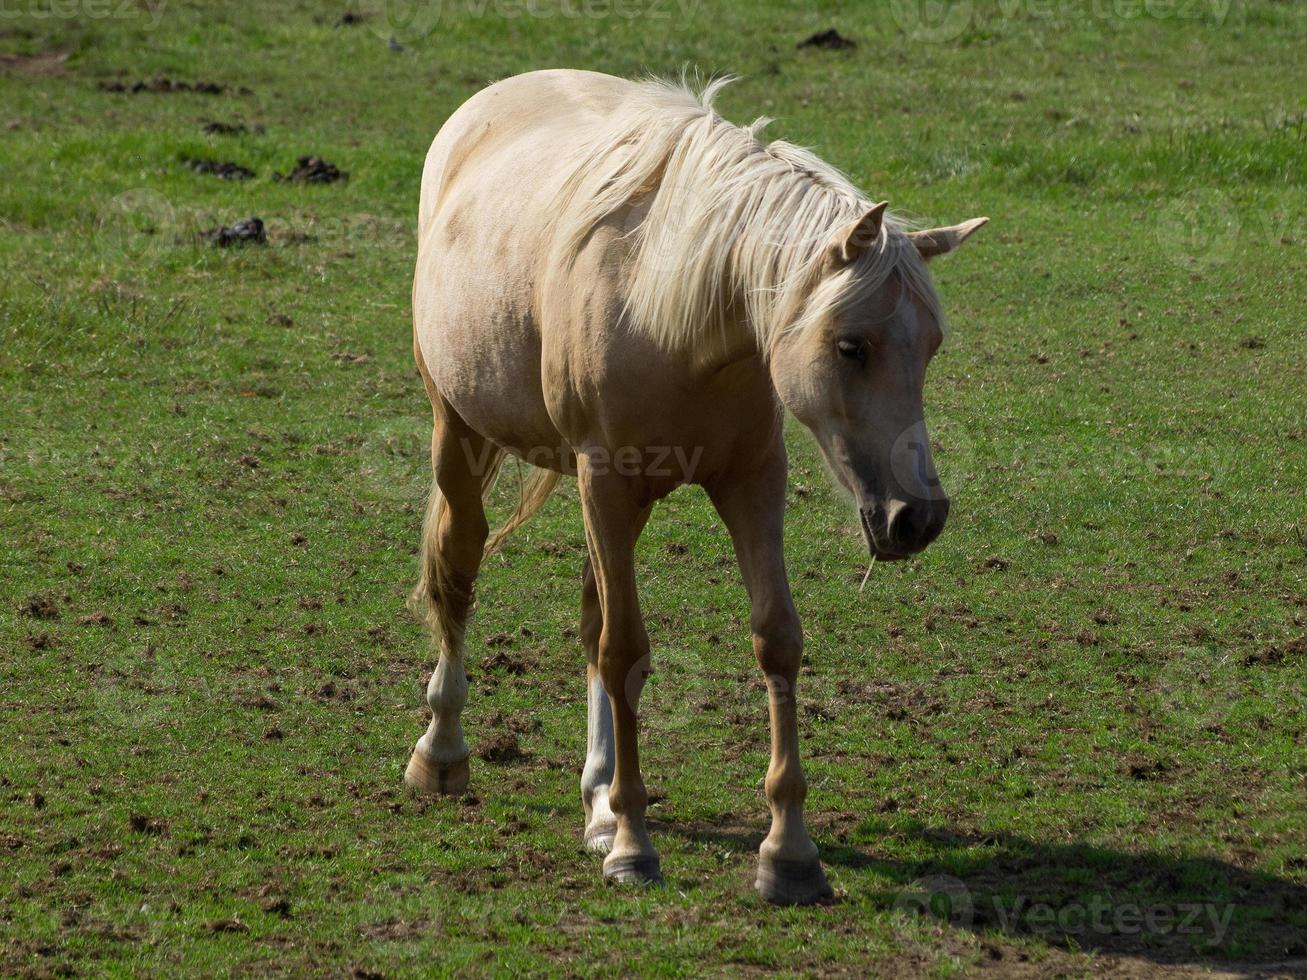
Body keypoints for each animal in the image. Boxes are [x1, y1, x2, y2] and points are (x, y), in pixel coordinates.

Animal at [402, 69, 982, 909]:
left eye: (931, 346)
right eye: (851, 346)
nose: (918, 517)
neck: (677, 317)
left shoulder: (750, 482)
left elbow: (775, 638)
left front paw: (788, 853)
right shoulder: (606, 485)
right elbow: (623, 648)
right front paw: (634, 847)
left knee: (586, 615)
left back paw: (597, 800)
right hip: (460, 429)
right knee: (459, 568)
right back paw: (443, 751)